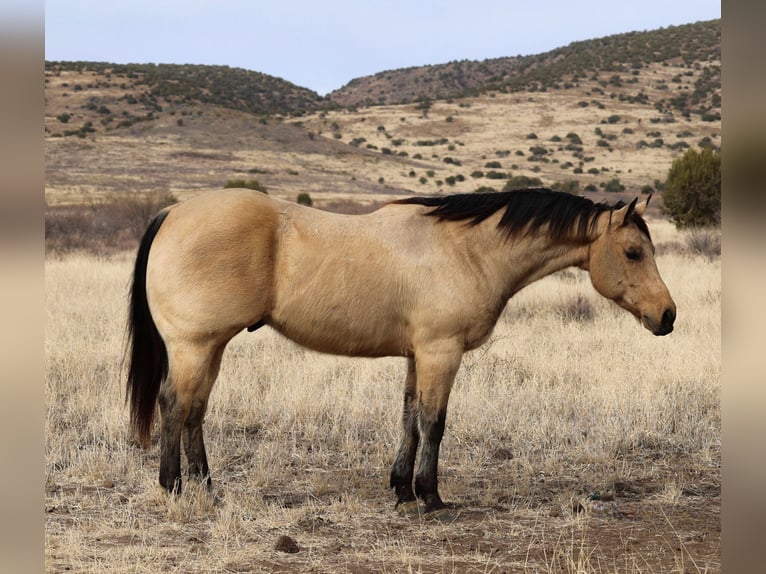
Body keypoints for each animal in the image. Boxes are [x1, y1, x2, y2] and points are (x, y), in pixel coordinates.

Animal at [127, 189, 680, 516]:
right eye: (633, 252)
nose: (668, 316)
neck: (467, 249)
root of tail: (173, 212)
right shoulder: (441, 352)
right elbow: (434, 422)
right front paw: (431, 496)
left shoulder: (418, 355)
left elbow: (409, 416)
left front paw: (401, 488)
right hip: (195, 346)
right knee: (175, 405)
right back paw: (174, 487)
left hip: (212, 348)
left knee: (195, 411)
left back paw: (207, 487)